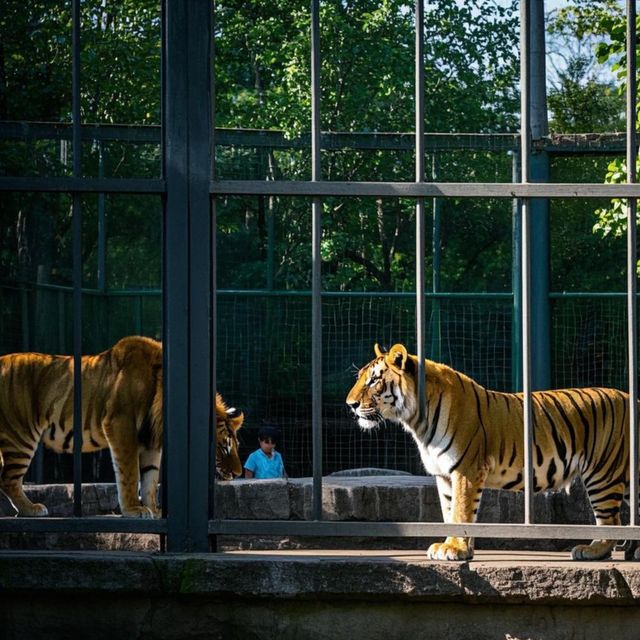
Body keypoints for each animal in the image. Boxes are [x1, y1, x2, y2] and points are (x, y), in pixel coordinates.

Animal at [0, 338, 244, 516]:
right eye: (224, 447)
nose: (238, 473)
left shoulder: (150, 441)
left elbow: (150, 479)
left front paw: (154, 510)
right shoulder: (120, 425)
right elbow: (129, 473)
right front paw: (134, 510)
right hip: (20, 436)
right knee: (8, 480)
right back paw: (32, 509)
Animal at [348, 344, 632, 560]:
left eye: (374, 380)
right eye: (361, 377)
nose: (350, 404)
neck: (416, 420)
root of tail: (631, 397)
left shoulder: (466, 469)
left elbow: (461, 511)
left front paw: (454, 549)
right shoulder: (445, 474)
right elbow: (450, 511)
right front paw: (458, 547)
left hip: (603, 473)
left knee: (612, 521)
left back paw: (592, 550)